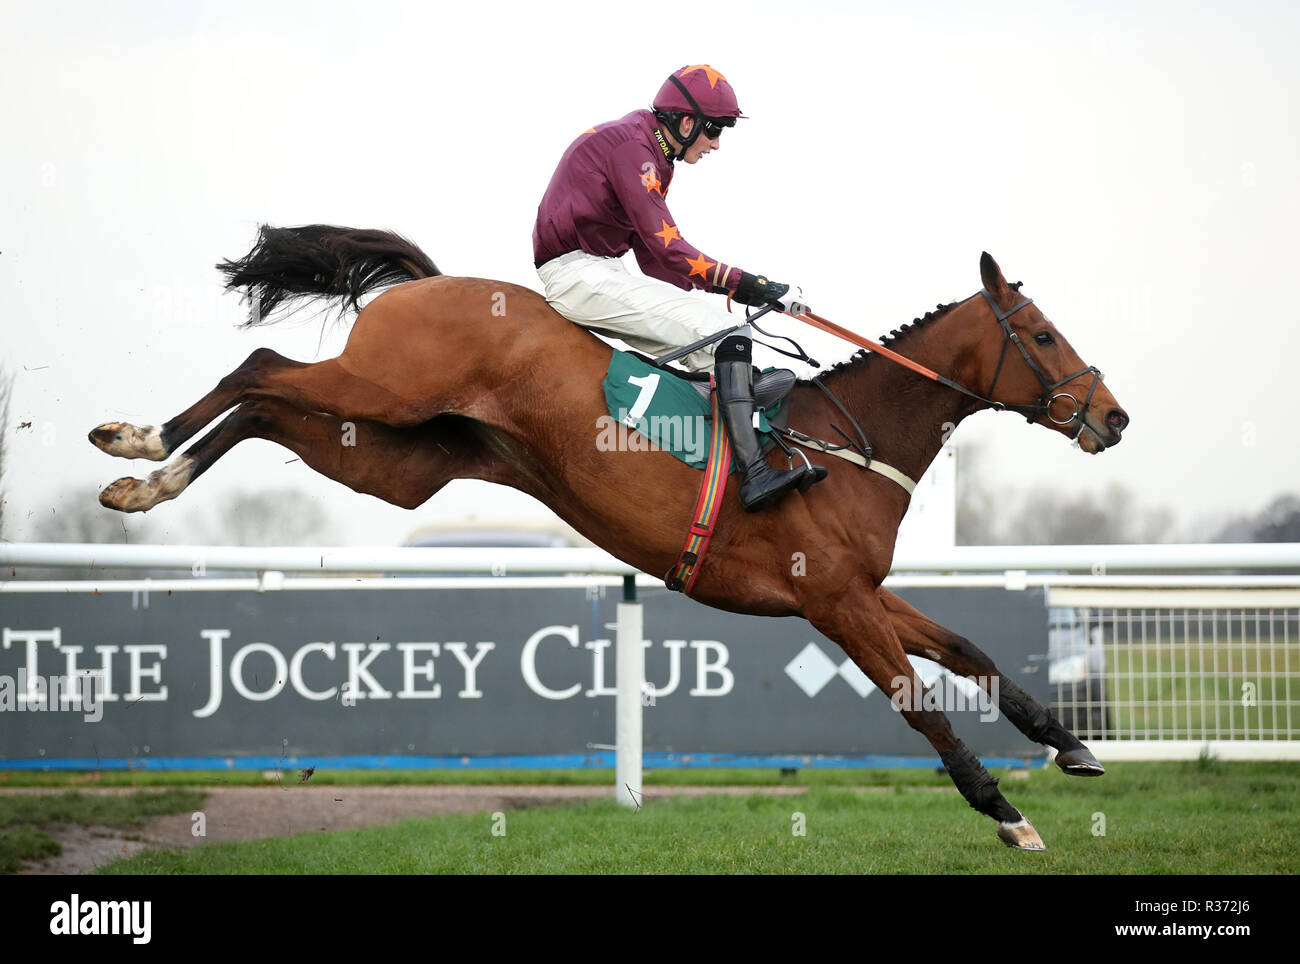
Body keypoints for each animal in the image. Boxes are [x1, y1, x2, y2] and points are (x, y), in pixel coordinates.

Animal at [89, 226, 1128, 852]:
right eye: (1041, 335)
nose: (1114, 417)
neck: (843, 443)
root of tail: (436, 283)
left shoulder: (862, 593)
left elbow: (972, 648)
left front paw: (1070, 746)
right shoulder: (833, 601)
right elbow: (922, 705)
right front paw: (1008, 814)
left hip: (390, 455)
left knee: (265, 405)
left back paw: (147, 475)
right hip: (376, 392)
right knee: (261, 368)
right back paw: (137, 446)